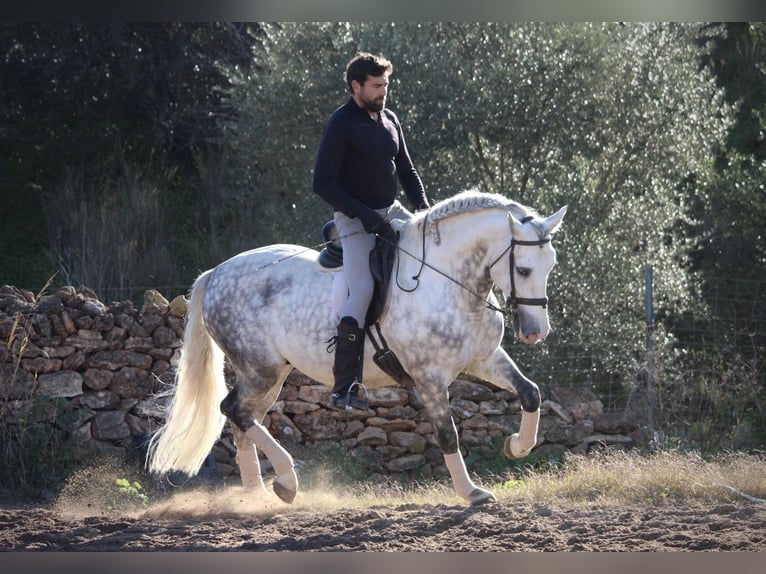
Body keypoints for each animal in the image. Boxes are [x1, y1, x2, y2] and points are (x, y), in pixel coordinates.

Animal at [148, 191, 568, 506]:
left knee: (243, 419)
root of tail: (216, 272)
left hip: (271, 374)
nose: (536, 332)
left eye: (551, 265)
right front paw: (472, 493)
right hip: (260, 369)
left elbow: (530, 392)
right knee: (234, 410)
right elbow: (448, 434)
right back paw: (286, 481)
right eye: (524, 270)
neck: (449, 283)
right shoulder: (429, 378)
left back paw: (260, 495)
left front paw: (517, 446)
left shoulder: (483, 359)